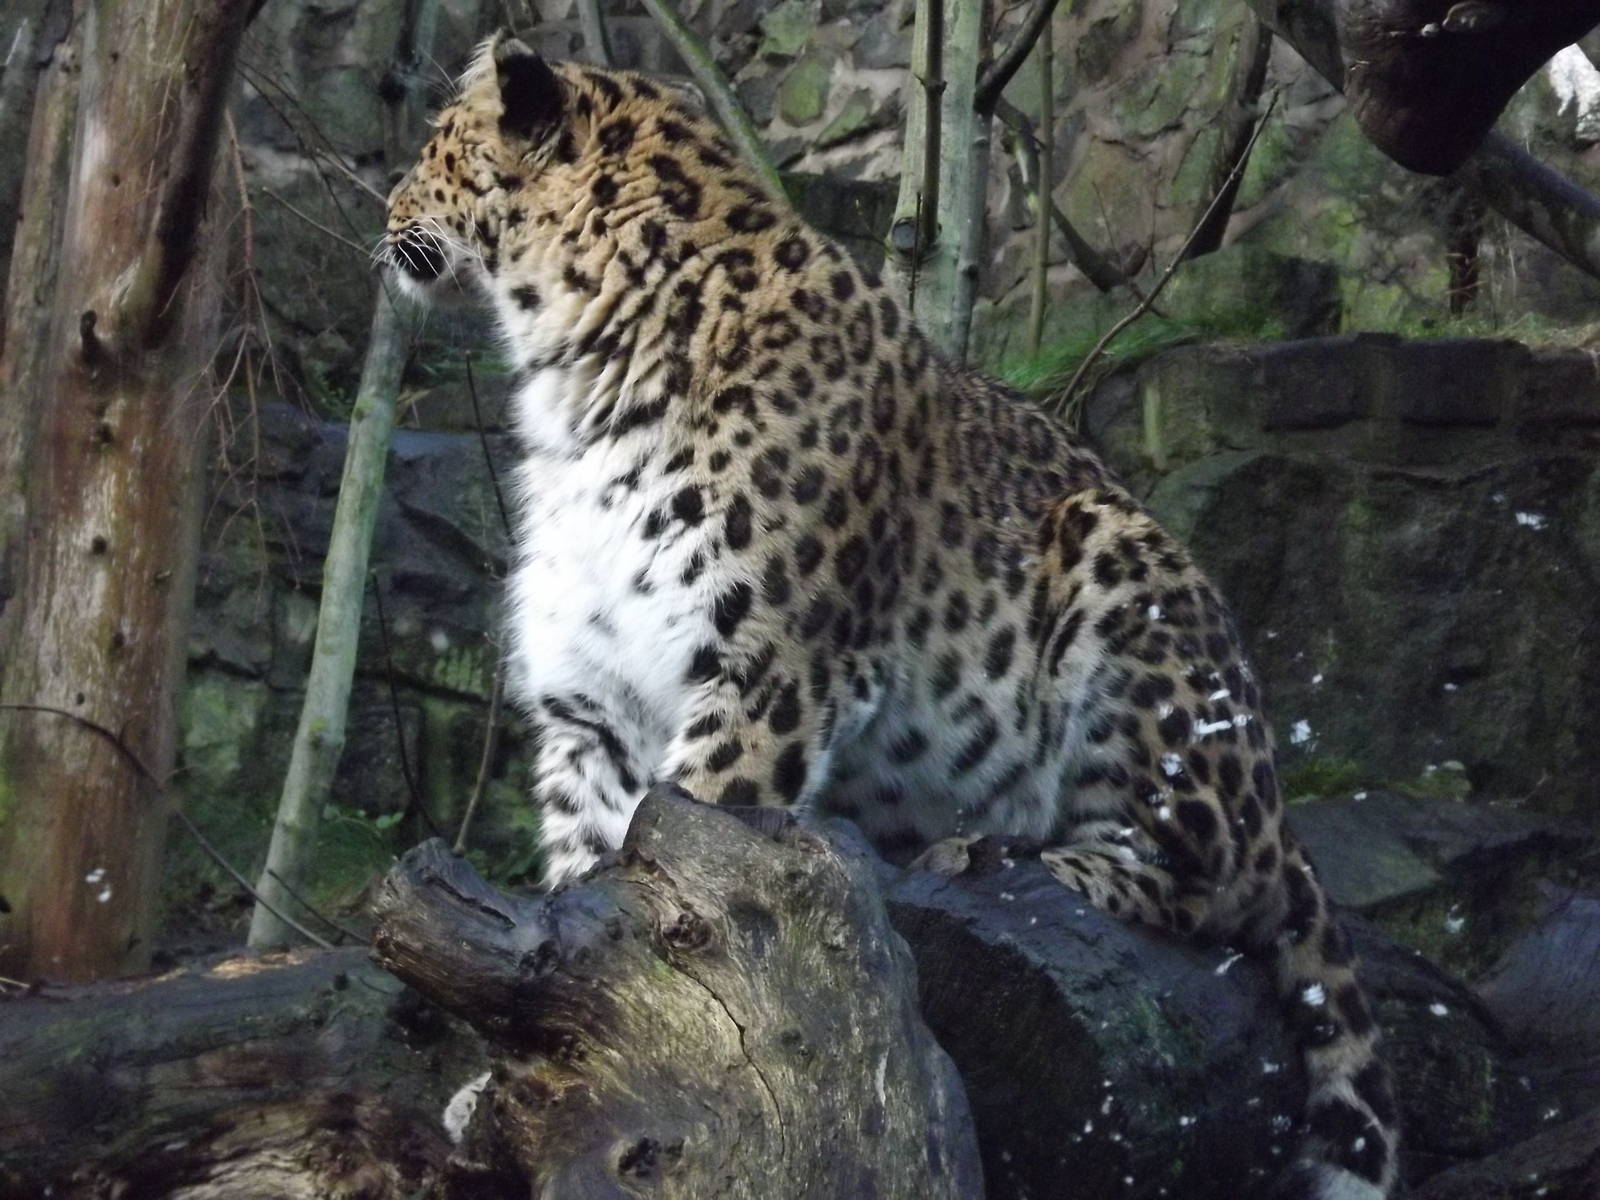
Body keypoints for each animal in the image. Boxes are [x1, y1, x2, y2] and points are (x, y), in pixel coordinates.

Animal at [383, 33, 1398, 1199]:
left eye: (436, 145)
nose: (384, 208)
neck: (570, 367)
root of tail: (1277, 795)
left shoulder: (765, 668)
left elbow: (684, 853)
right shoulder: (588, 710)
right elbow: (581, 883)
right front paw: (516, 1080)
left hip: (1121, 570)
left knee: (1214, 891)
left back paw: (1006, 856)